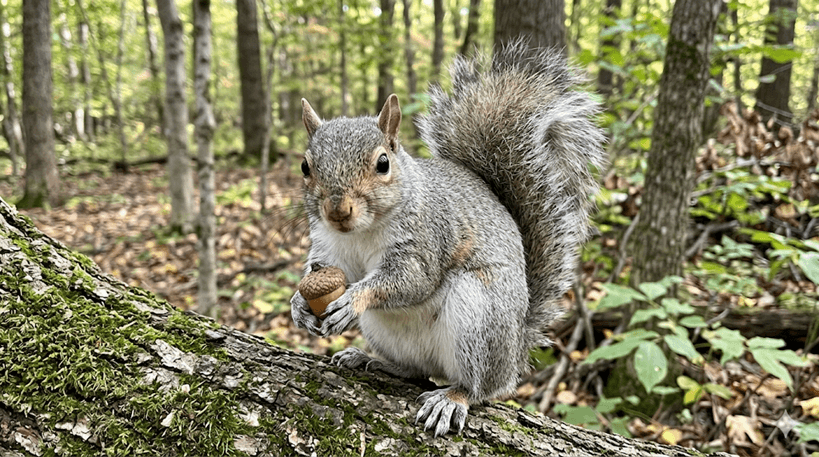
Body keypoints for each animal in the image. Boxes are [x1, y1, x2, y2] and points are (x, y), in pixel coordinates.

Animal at [290, 41, 606, 437]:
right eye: (305, 167)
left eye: (383, 163)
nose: (337, 211)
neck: (362, 232)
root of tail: (515, 353)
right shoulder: (330, 249)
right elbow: (324, 272)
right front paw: (299, 305)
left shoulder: (428, 239)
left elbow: (409, 281)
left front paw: (353, 299)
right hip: (388, 333)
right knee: (416, 370)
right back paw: (372, 360)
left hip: (479, 316)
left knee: (478, 387)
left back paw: (453, 398)